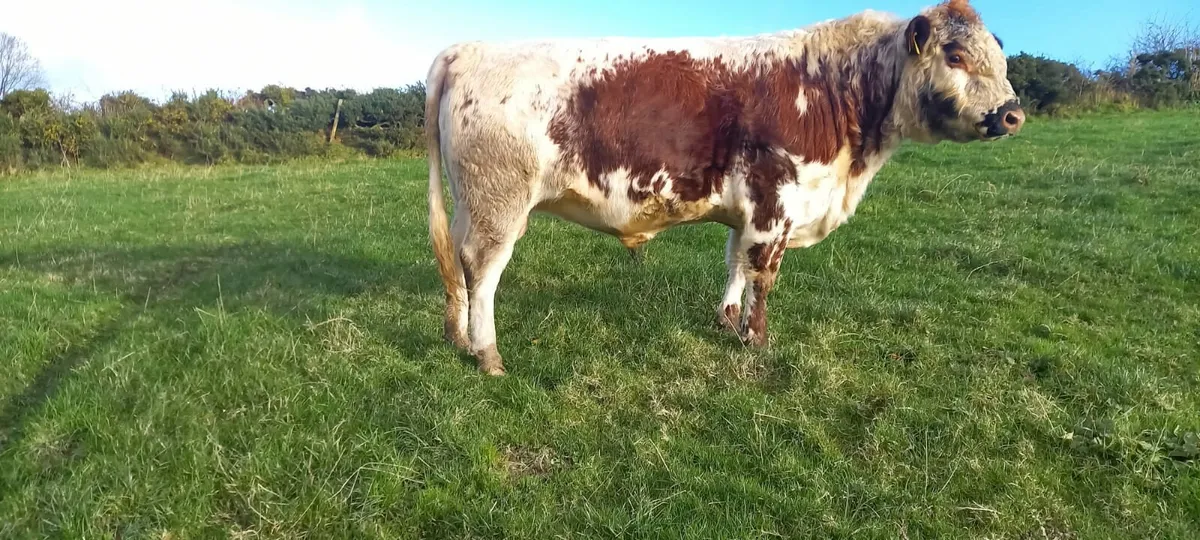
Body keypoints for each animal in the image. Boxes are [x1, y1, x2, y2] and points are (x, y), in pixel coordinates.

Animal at [424, 0, 1024, 375]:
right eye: (955, 55)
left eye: (999, 57)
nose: (1013, 114)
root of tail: (470, 48)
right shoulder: (776, 199)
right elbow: (763, 274)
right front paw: (756, 339)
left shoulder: (751, 210)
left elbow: (736, 261)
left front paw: (728, 322)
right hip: (501, 202)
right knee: (483, 271)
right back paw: (487, 354)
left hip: (471, 201)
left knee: (457, 263)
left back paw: (458, 338)